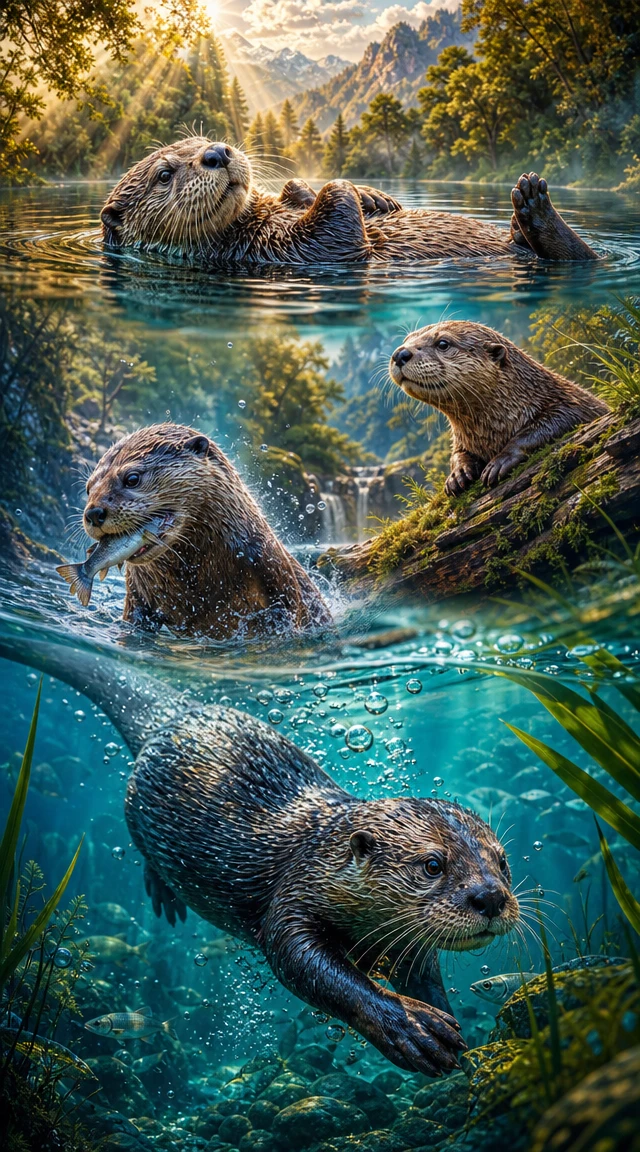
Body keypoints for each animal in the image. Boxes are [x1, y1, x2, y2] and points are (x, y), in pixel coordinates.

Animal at [1, 632, 519, 1075]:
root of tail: (176, 715)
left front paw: (446, 1019)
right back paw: (163, 896)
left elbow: (420, 968)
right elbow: (299, 961)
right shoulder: (295, 895)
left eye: (501, 862)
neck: (321, 853)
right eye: (433, 864)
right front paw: (412, 1027)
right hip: (135, 809)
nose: (491, 897)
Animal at [100, 137, 598, 265]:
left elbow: (298, 191)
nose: (217, 153)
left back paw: (530, 206)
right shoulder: (284, 250)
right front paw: (346, 186)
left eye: (202, 140)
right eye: (165, 174)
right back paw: (533, 206)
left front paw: (373, 196)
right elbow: (336, 225)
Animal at [389, 321, 609, 496]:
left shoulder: (571, 404)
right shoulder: (462, 439)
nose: (400, 353)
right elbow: (458, 453)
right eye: (406, 339)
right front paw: (457, 473)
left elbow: (549, 425)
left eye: (443, 343)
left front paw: (500, 461)